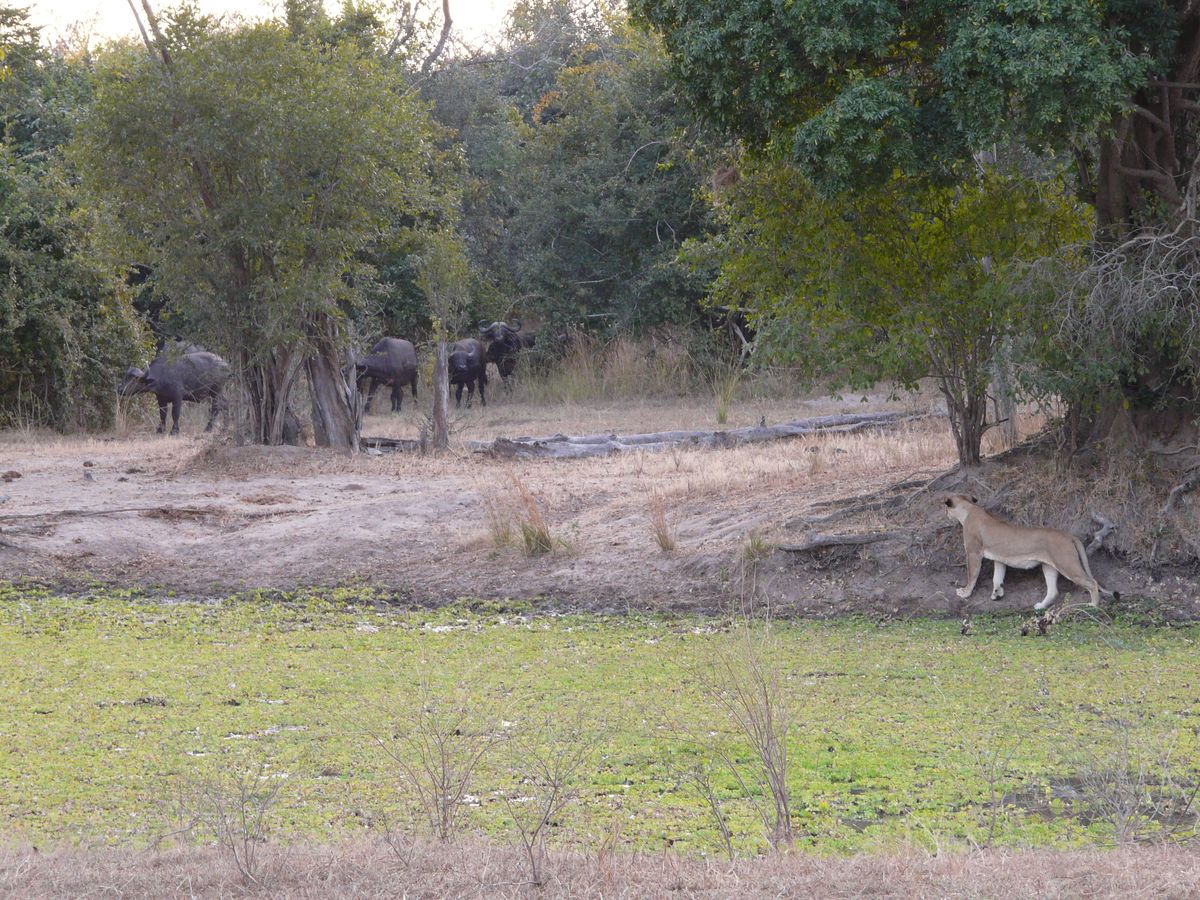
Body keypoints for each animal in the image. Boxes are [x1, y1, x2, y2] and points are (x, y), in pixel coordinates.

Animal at [943, 494, 1118, 610]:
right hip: (1049, 567)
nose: (946, 516)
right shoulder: (999, 558)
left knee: (1092, 583)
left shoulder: (973, 552)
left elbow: (972, 575)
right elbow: (997, 577)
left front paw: (965, 593)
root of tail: (1068, 535)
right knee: (1053, 591)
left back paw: (1093, 605)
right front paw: (997, 594)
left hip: (1067, 564)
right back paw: (1040, 606)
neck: (969, 510)